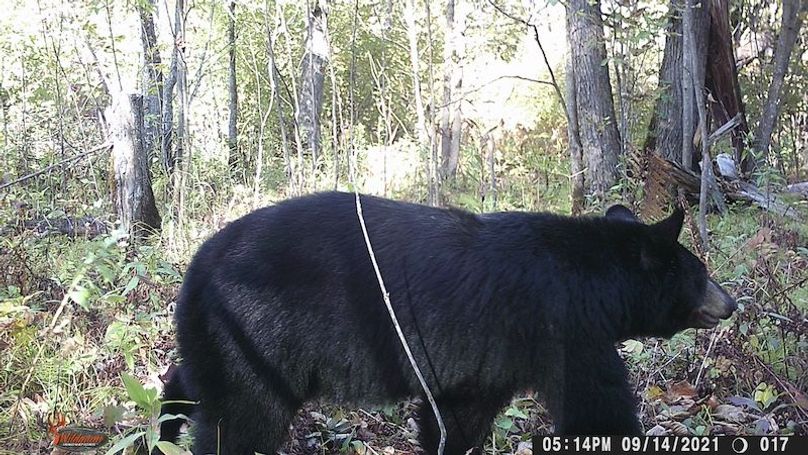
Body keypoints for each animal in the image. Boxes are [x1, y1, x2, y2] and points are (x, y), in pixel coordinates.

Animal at [158, 191, 736, 454]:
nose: (731, 303)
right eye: (701, 272)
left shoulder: (485, 363)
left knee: (192, 380)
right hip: (257, 336)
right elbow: (597, 409)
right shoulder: (562, 331)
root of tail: (195, 268)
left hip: (220, 338)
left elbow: (457, 418)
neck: (592, 285)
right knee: (243, 421)